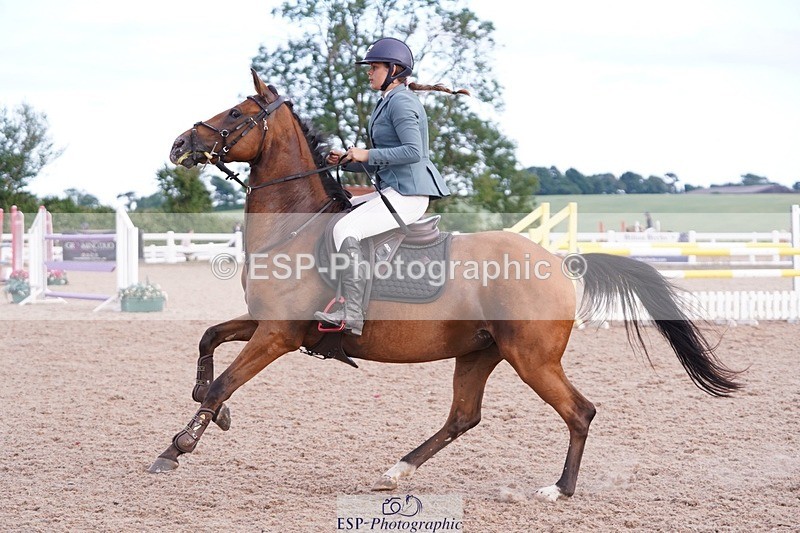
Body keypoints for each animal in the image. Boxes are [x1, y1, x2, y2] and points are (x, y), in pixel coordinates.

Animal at [150, 69, 741, 501]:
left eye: (237, 113)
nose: (179, 144)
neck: (296, 226)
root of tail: (557, 261)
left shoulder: (278, 334)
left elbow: (225, 382)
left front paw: (177, 447)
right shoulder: (266, 321)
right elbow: (207, 341)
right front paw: (214, 415)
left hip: (532, 358)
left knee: (579, 412)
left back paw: (558, 490)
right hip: (479, 351)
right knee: (463, 416)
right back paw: (394, 473)